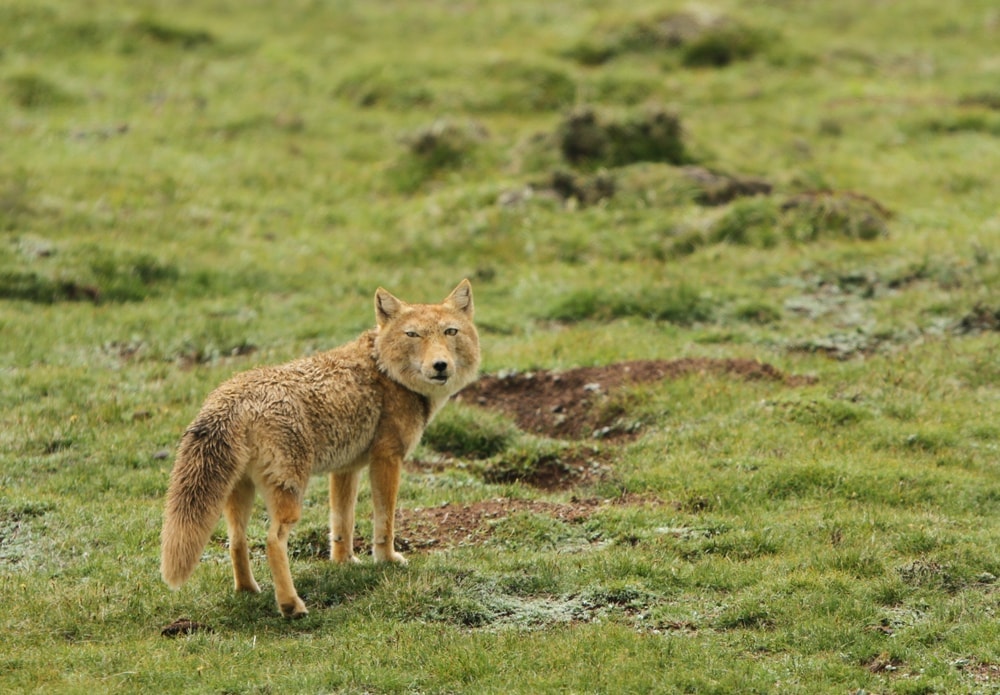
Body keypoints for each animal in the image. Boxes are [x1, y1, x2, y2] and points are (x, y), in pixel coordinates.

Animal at [160, 280, 480, 617]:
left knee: (237, 541)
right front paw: (387, 560)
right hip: (290, 497)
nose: (440, 366)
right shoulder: (387, 459)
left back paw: (248, 590)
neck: (385, 369)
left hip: (239, 495)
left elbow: (342, 523)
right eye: (413, 334)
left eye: (450, 332)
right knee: (272, 541)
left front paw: (344, 563)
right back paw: (291, 605)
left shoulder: (346, 468)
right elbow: (385, 521)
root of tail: (231, 396)